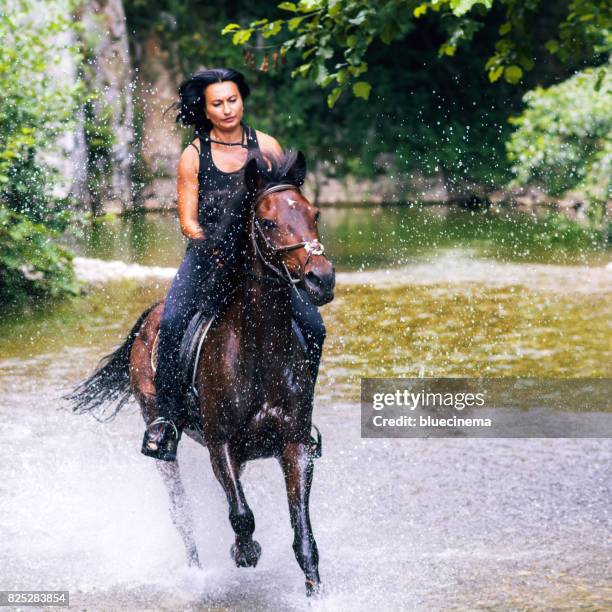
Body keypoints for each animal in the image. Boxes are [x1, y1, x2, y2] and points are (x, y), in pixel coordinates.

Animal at [63, 151, 334, 596]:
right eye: (268, 222)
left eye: (314, 214)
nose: (321, 278)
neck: (259, 348)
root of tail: (148, 319)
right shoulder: (220, 443)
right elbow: (241, 514)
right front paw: (245, 552)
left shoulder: (294, 445)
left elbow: (303, 533)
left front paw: (315, 592)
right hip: (159, 433)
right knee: (182, 514)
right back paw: (197, 572)